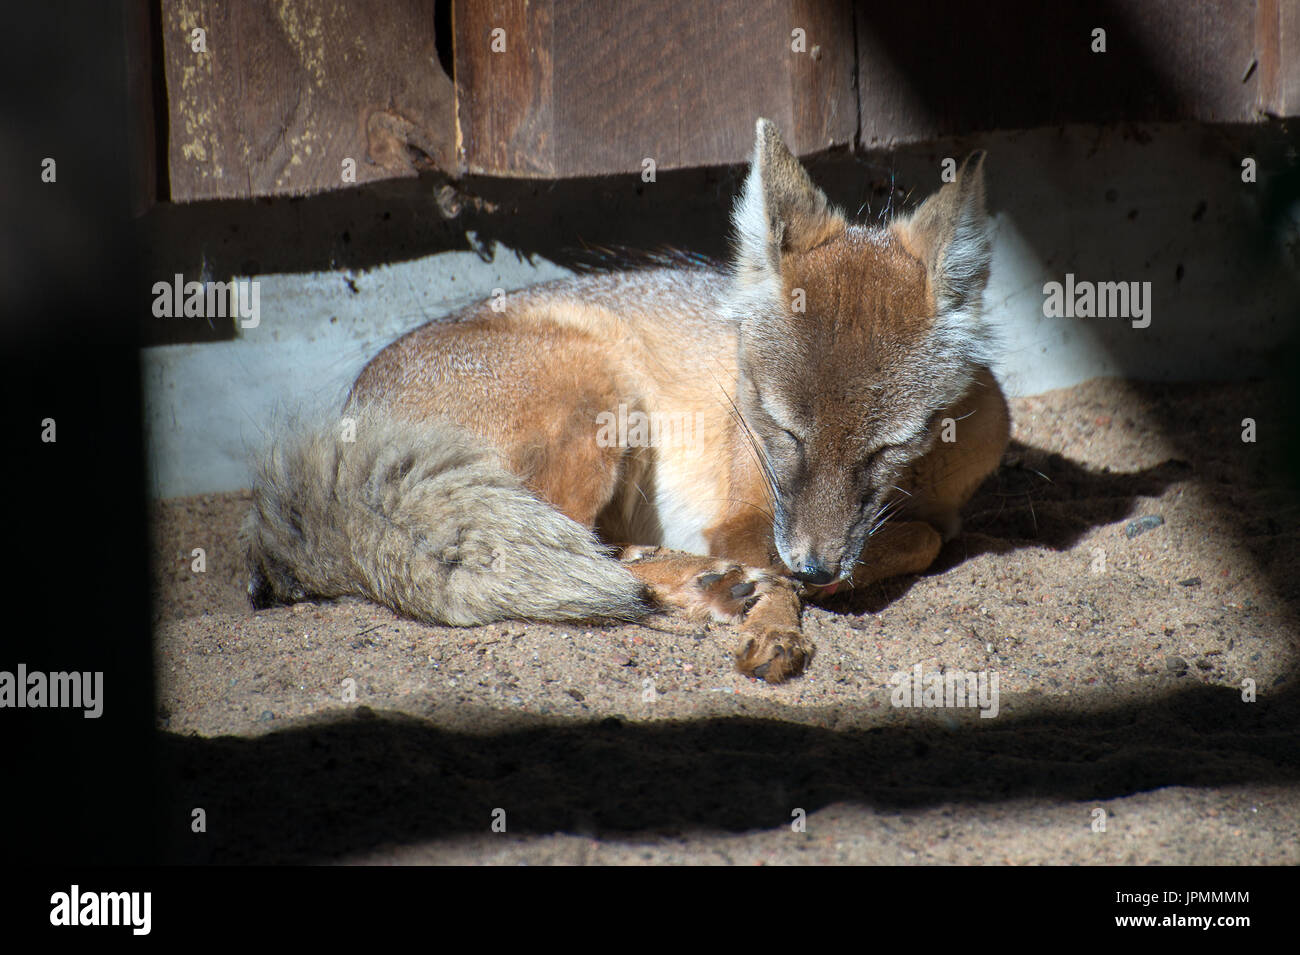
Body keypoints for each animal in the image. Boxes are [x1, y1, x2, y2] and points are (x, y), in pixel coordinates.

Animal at [245, 119, 1013, 686]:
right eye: (781, 430)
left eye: (886, 448)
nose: (815, 568)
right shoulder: (746, 519)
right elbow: (881, 547)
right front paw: (781, 616)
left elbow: (924, 534)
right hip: (600, 395)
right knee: (573, 547)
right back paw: (699, 583)